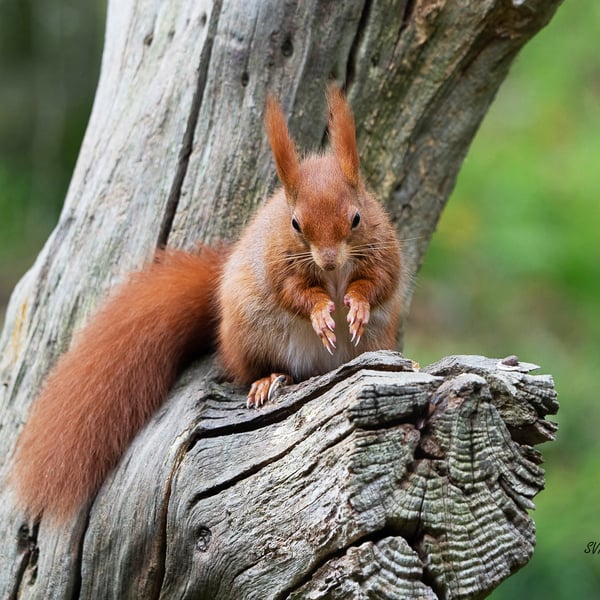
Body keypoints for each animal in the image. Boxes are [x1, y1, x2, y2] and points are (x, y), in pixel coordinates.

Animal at [9, 85, 404, 524]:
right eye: (296, 224)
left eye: (356, 218)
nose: (331, 261)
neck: (332, 274)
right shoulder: (276, 263)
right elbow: (294, 294)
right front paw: (321, 313)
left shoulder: (384, 251)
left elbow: (378, 284)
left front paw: (357, 305)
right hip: (252, 338)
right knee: (252, 369)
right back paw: (268, 380)